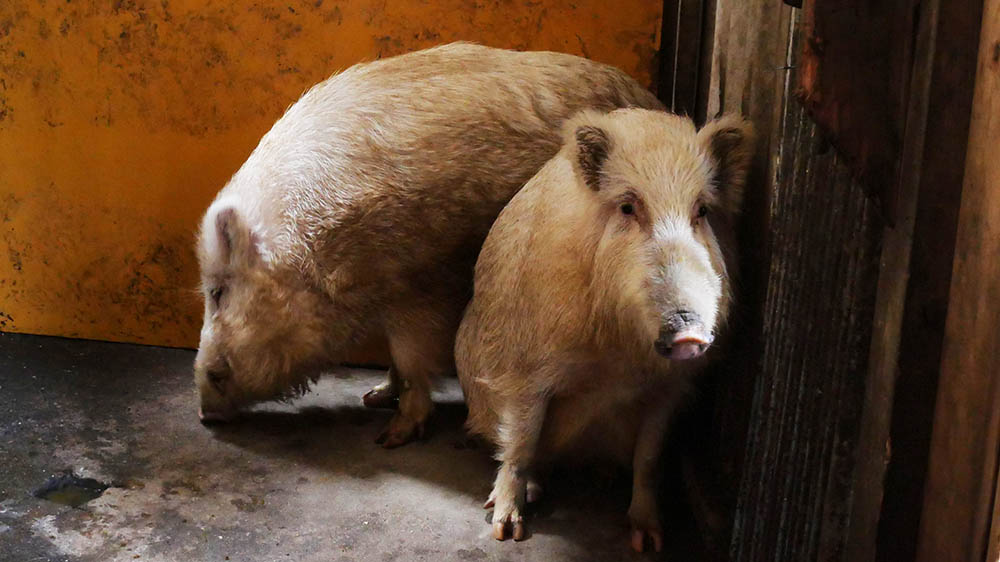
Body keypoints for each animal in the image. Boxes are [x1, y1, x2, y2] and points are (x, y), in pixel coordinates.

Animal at [193, 42, 664, 447]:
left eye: (217, 292)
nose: (201, 413)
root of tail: (652, 98)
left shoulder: (420, 287)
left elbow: (413, 360)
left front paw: (390, 437)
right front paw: (373, 397)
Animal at [454, 108, 753, 551]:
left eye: (701, 210)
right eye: (628, 206)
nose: (688, 333)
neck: (617, 363)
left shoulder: (670, 387)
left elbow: (649, 458)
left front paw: (649, 541)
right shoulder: (523, 372)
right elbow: (521, 443)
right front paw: (507, 530)